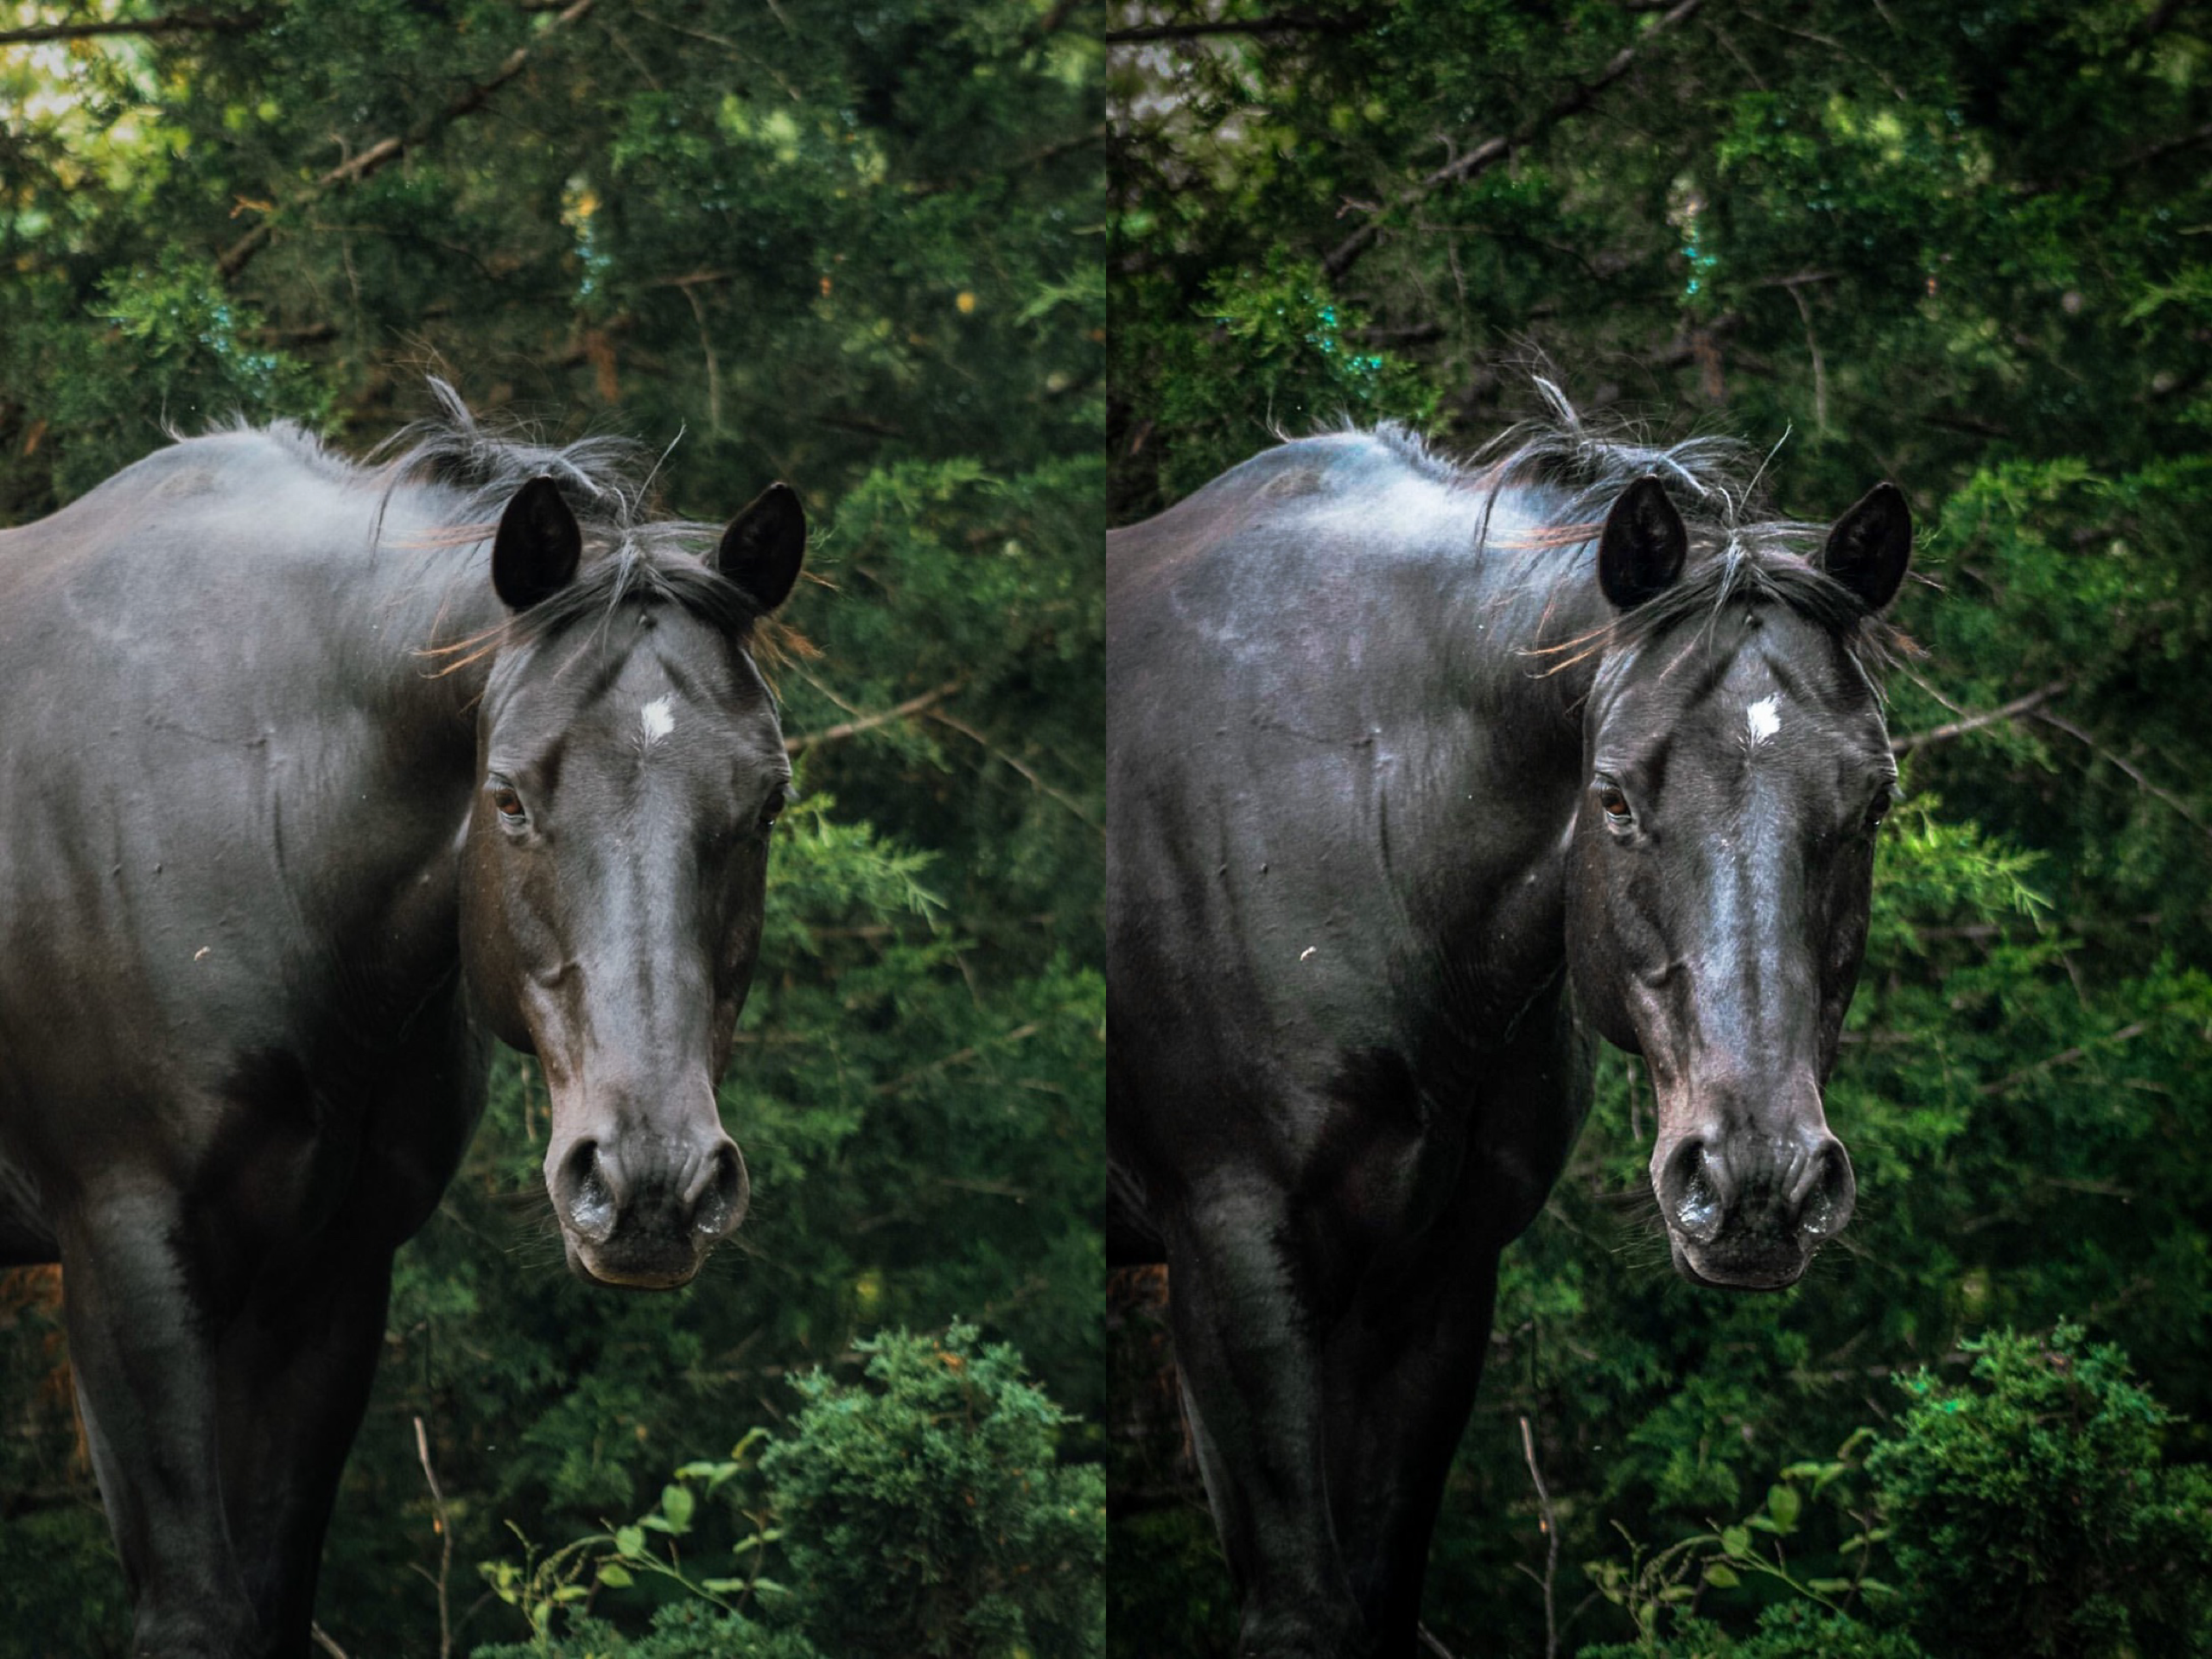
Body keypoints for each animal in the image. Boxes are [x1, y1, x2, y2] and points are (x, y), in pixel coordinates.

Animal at [0, 384, 806, 1657]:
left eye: (767, 801)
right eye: (510, 797)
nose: (652, 1185)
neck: (239, 790)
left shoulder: (327, 1278)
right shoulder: (124, 1253)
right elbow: (198, 1613)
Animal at [1105, 395, 1912, 1658]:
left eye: (1874, 801)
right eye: (1615, 796)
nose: (1758, 1183)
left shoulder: (1436, 1278)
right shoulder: (1228, 1250)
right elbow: (1303, 1612)